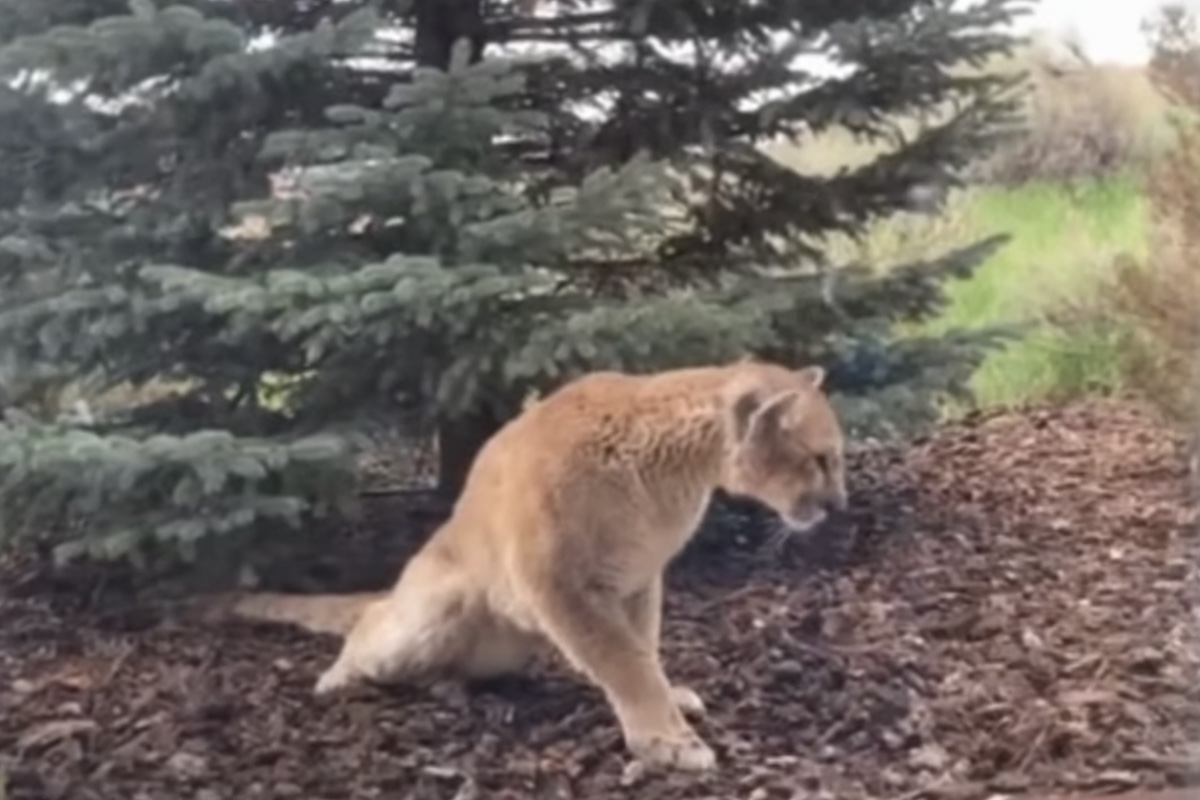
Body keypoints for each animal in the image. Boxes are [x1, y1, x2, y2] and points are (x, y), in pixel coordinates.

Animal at [217, 358, 847, 771]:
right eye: (820, 459)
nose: (839, 505)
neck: (678, 471)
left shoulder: (640, 579)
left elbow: (643, 648)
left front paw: (670, 704)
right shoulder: (561, 582)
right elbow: (624, 661)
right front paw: (667, 742)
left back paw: (449, 685)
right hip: (433, 613)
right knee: (374, 622)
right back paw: (339, 678)